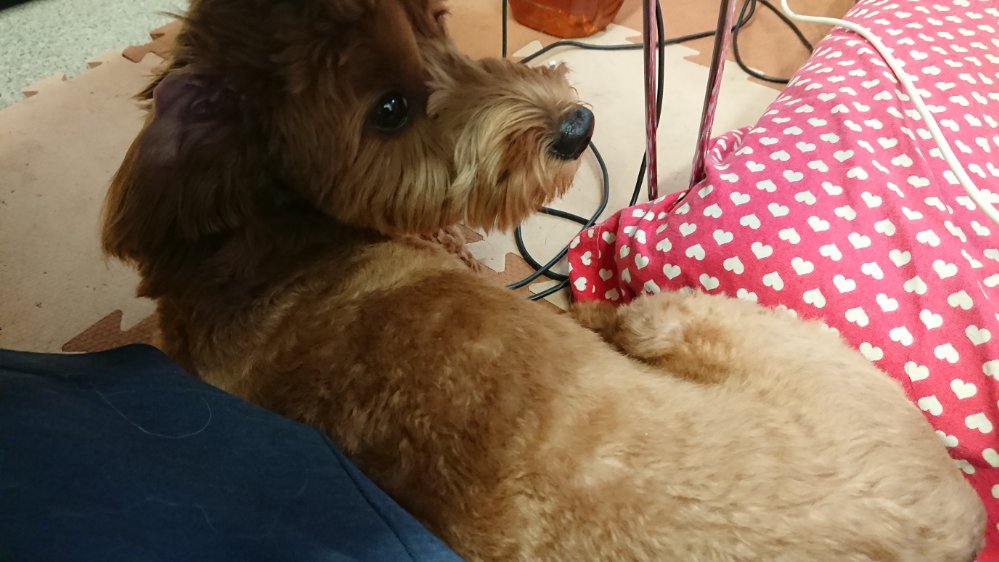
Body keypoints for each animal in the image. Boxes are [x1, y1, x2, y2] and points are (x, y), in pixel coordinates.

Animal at [101, 0, 985, 559]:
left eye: (437, 24)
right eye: (387, 110)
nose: (578, 125)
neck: (268, 257)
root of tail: (964, 520)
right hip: (714, 327)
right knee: (633, 317)